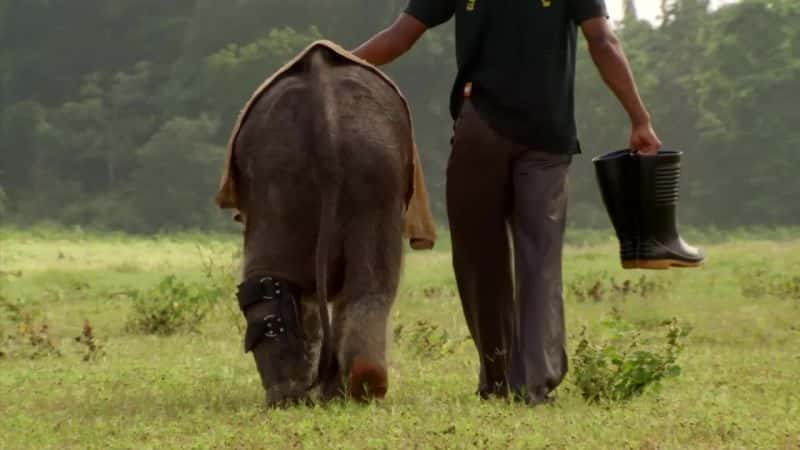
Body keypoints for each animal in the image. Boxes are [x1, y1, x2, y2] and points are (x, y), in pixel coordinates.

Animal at [228, 44, 410, 406]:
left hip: (284, 174)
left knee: (269, 284)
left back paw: (291, 397)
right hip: (372, 174)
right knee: (371, 285)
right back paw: (359, 387)